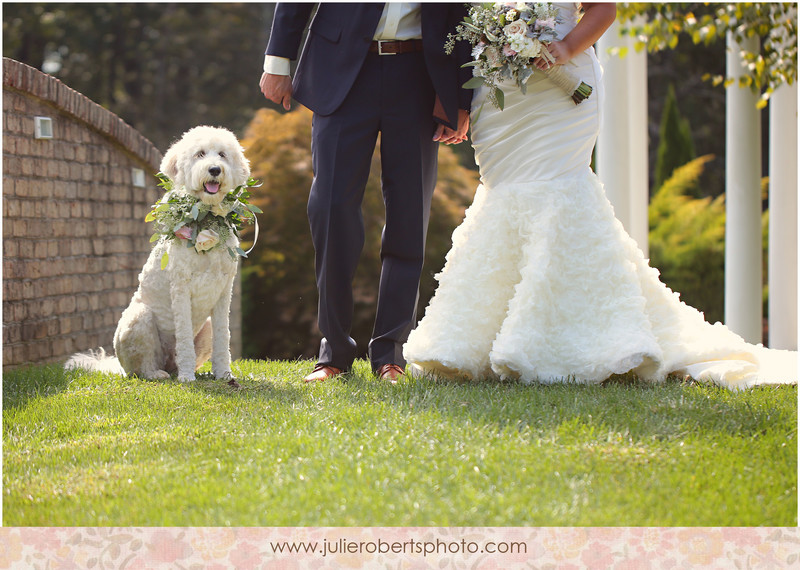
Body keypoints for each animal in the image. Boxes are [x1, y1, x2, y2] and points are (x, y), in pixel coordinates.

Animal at [68, 125, 260, 382]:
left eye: (222, 154)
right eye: (200, 154)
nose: (215, 169)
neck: (207, 220)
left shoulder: (223, 291)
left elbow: (224, 335)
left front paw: (223, 374)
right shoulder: (181, 288)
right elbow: (184, 336)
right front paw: (187, 377)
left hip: (205, 326)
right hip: (138, 318)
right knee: (141, 369)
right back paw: (160, 373)